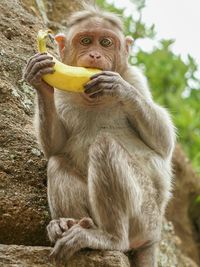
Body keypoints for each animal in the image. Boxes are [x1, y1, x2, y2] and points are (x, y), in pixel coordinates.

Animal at [23, 5, 176, 266]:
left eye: (105, 42)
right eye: (86, 41)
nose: (94, 55)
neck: (93, 98)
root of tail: (154, 237)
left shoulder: (135, 77)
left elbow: (164, 143)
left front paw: (119, 88)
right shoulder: (62, 92)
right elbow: (55, 146)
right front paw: (39, 77)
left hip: (146, 218)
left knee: (105, 146)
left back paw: (110, 237)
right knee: (57, 161)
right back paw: (68, 225)